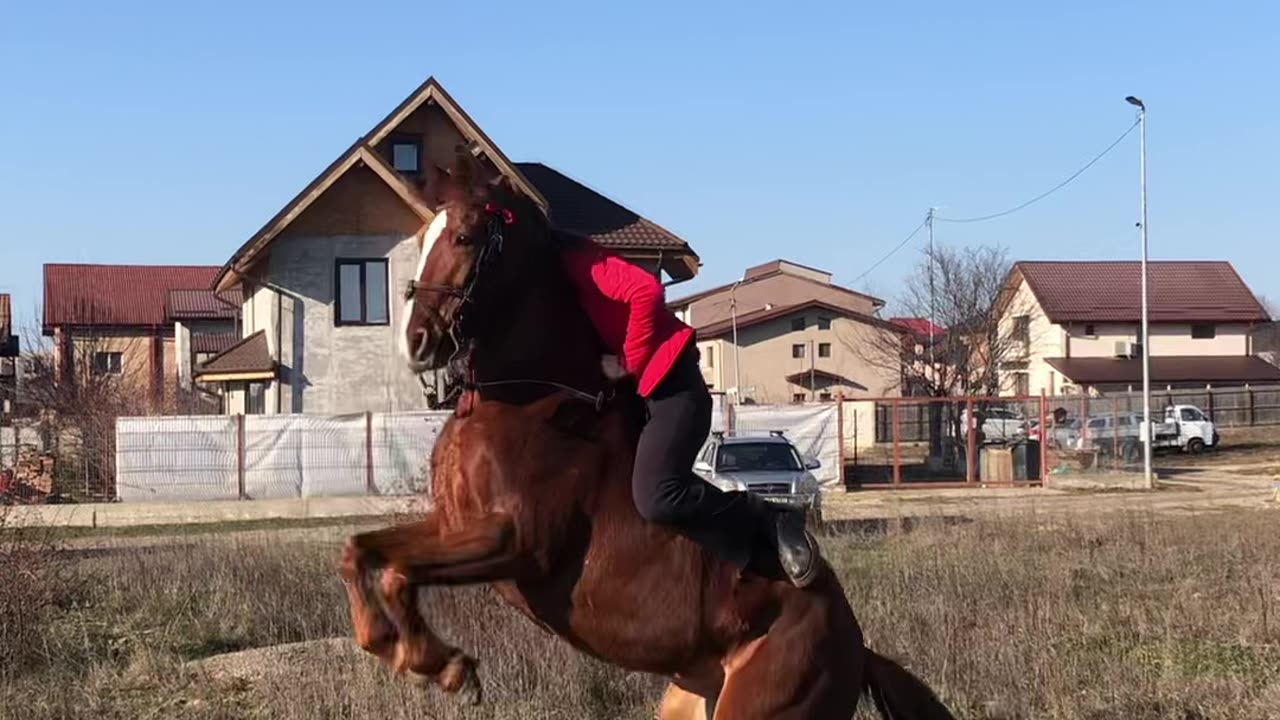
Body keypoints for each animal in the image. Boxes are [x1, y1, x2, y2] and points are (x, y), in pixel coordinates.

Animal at [340, 155, 958, 719]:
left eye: (465, 238)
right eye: (422, 239)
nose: (415, 342)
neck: (524, 399)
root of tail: (857, 644)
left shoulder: (516, 541)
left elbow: (396, 571)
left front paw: (442, 664)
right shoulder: (450, 526)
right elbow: (360, 550)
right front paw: (411, 654)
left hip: (769, 699)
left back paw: (791, 543)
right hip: (692, 699)